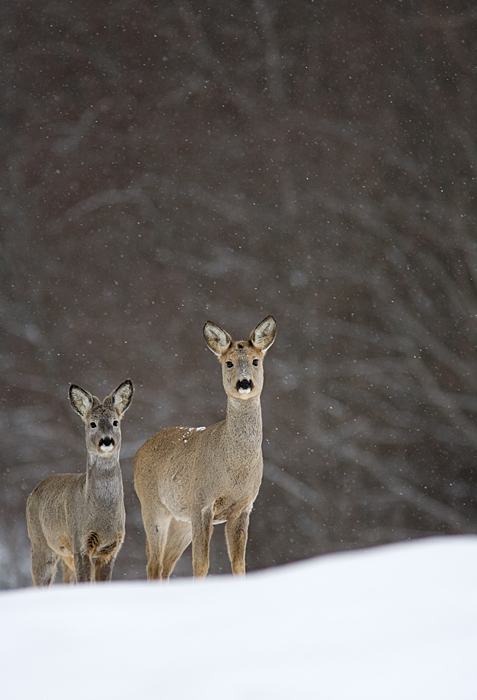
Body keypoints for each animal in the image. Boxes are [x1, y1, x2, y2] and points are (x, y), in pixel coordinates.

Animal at [27, 378, 133, 584]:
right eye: (92, 424)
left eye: (115, 422)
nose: (106, 440)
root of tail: (34, 490)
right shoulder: (81, 542)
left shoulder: (111, 548)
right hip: (41, 543)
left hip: (65, 555)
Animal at [134, 318, 276, 580]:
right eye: (229, 362)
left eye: (255, 360)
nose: (244, 382)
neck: (235, 468)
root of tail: (140, 449)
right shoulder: (201, 501)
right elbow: (201, 564)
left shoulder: (244, 507)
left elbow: (239, 564)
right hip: (152, 504)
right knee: (154, 564)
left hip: (180, 520)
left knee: (165, 565)